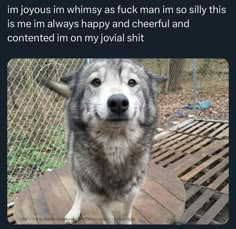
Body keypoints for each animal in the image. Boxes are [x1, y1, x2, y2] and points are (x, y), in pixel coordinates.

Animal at [40, 58, 166, 224]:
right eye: (96, 82)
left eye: (132, 82)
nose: (118, 102)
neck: (115, 148)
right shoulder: (99, 200)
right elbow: (109, 218)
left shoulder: (131, 194)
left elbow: (126, 215)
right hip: (74, 165)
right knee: (79, 188)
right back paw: (74, 211)